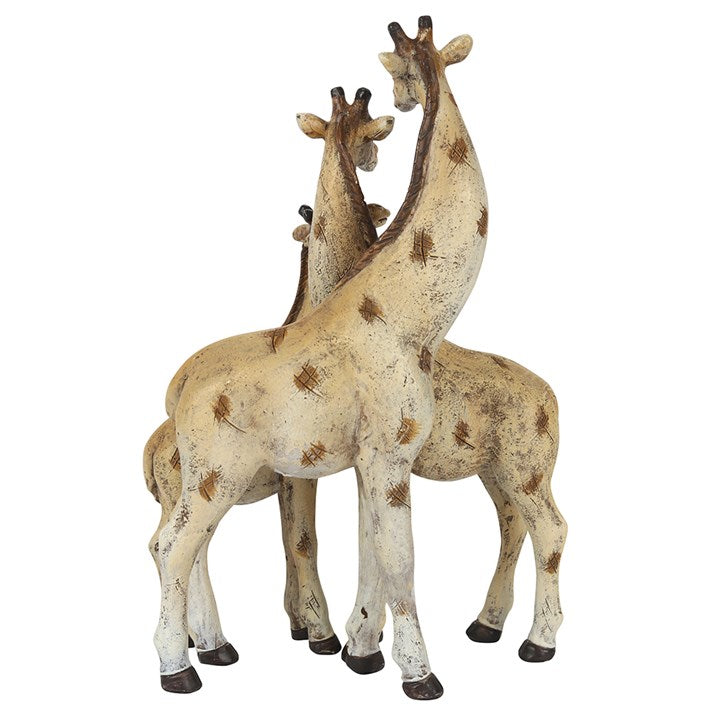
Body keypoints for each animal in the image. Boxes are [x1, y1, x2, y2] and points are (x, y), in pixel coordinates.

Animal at [143, 89, 394, 662]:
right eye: (362, 129)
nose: (371, 159)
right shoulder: (298, 473)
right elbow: (304, 542)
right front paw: (323, 634)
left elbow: (293, 543)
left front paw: (304, 625)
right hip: (202, 483)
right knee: (175, 546)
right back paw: (200, 646)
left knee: (180, 546)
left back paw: (200, 641)